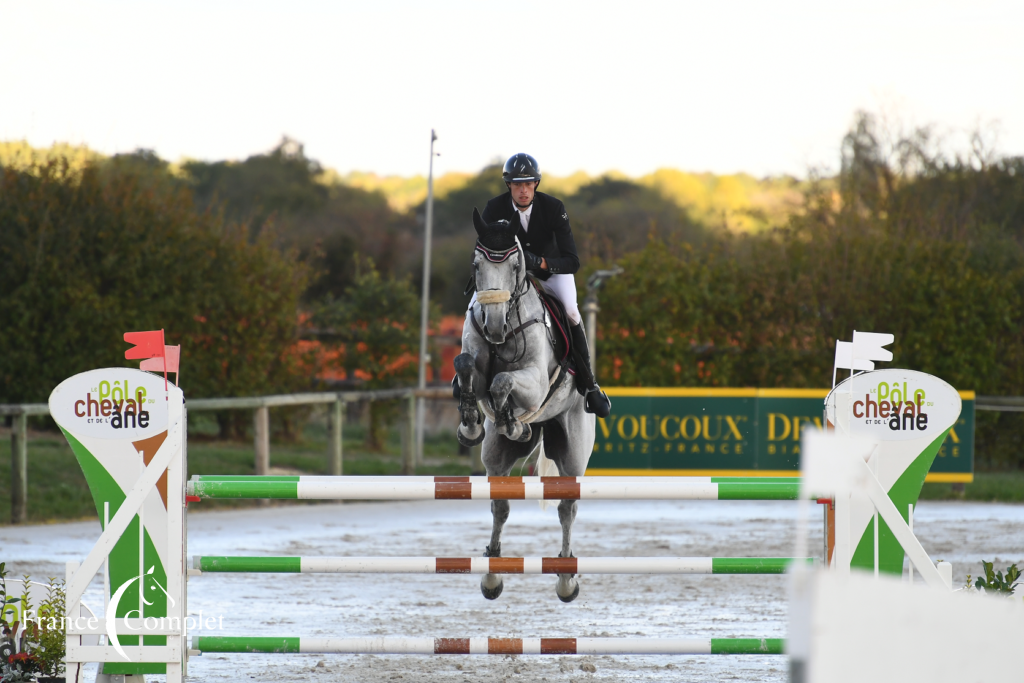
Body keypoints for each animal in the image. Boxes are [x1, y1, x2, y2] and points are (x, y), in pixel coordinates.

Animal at [454, 208, 598, 602]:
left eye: (517, 265)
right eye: (476, 265)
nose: (494, 327)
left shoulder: (534, 382)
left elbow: (504, 382)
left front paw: (512, 420)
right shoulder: (474, 362)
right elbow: (466, 366)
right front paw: (470, 421)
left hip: (573, 454)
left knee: (567, 508)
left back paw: (566, 580)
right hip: (496, 456)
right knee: (500, 506)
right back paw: (492, 575)